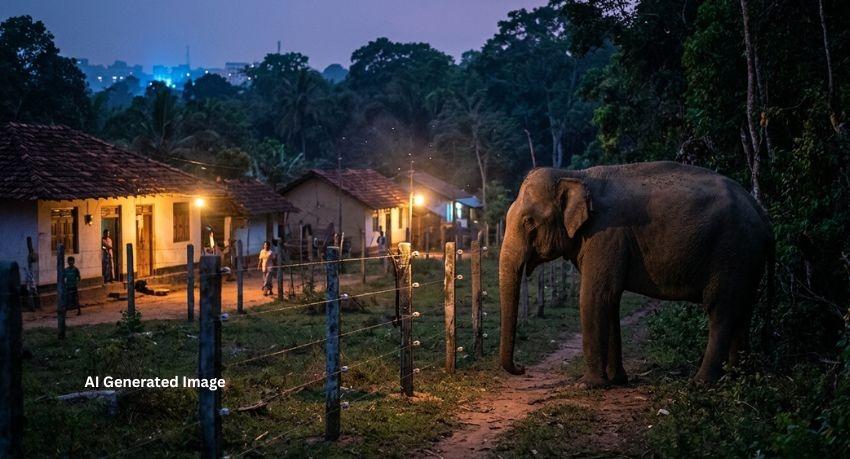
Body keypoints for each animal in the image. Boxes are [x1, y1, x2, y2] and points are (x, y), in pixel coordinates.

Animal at [499, 161, 774, 387]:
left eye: (528, 223)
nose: (522, 368)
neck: (575, 175)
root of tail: (761, 212)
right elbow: (610, 299)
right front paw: (617, 380)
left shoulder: (606, 234)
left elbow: (594, 297)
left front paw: (588, 385)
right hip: (747, 258)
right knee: (743, 309)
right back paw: (737, 376)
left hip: (732, 251)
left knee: (721, 309)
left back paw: (701, 383)